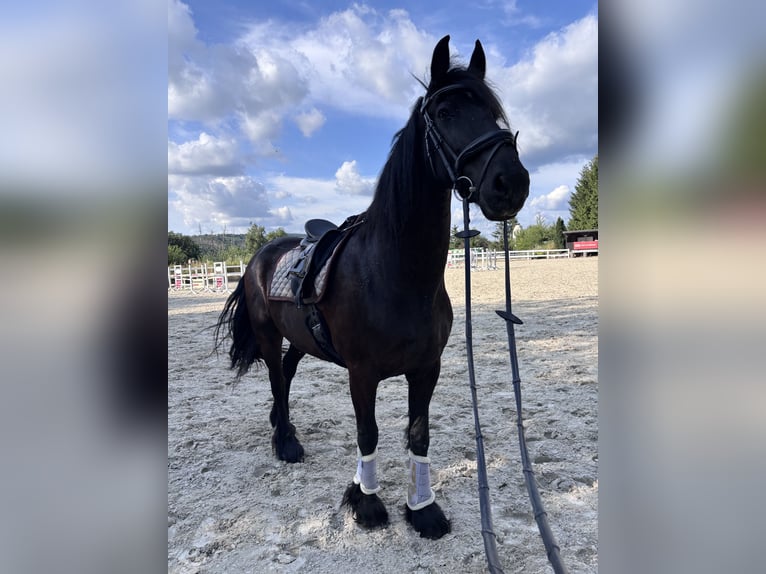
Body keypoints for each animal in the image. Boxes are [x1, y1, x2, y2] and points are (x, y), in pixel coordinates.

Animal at [214, 35, 529, 540]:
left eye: (496, 114)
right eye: (445, 112)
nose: (511, 182)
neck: (396, 275)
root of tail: (261, 255)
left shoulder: (427, 368)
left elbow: (418, 434)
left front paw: (423, 508)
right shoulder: (361, 374)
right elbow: (369, 433)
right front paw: (366, 502)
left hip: (299, 337)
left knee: (288, 372)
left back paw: (284, 427)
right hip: (266, 333)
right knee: (277, 378)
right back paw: (285, 442)